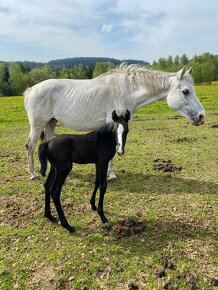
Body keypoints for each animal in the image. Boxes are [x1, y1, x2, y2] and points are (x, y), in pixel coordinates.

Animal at [24, 64, 205, 179]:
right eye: (186, 91)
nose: (202, 116)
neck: (126, 90)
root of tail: (31, 89)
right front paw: (110, 174)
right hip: (37, 125)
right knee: (30, 146)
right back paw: (33, 174)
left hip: (51, 122)